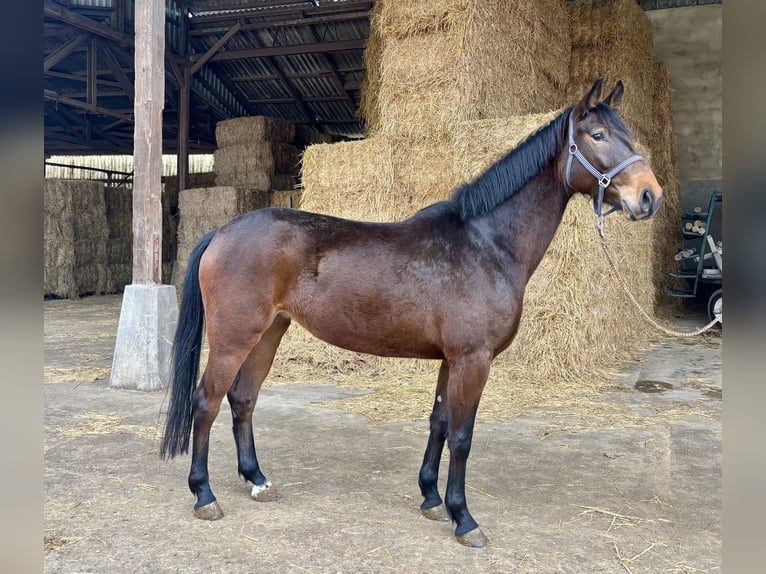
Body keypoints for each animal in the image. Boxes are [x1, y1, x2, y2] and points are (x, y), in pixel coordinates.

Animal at [162, 80, 664, 548]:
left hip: (269, 333)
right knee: (206, 401)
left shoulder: (451, 360)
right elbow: (462, 435)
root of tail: (222, 231)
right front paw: (465, 519)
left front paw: (432, 499)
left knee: (243, 399)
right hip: (233, 338)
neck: (486, 243)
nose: (649, 197)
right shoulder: (473, 359)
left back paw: (257, 480)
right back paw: (204, 495)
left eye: (630, 135)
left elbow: (438, 422)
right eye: (597, 135)